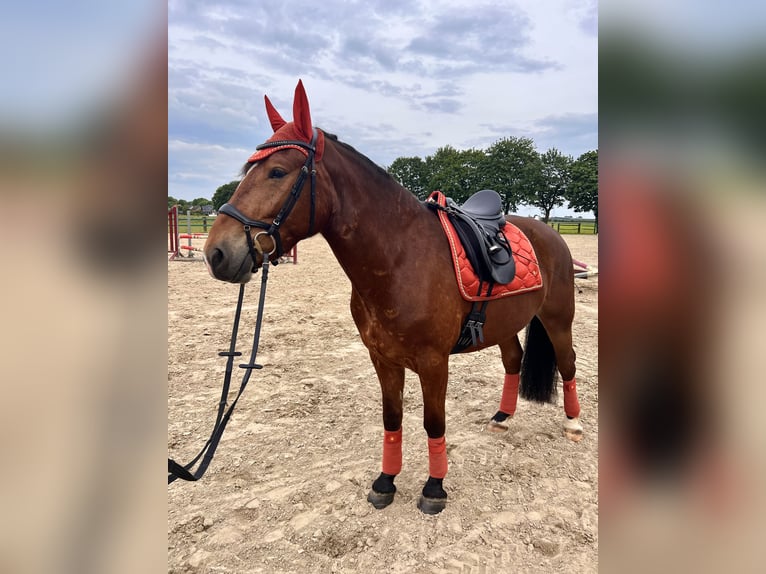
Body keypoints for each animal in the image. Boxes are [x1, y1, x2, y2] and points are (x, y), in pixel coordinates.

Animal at [204, 79, 584, 516]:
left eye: (277, 171)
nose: (216, 253)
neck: (400, 258)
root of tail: (552, 233)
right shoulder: (383, 358)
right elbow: (392, 419)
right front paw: (386, 481)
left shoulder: (434, 363)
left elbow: (433, 423)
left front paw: (434, 488)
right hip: (505, 324)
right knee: (513, 360)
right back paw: (503, 417)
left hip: (558, 319)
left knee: (568, 362)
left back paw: (574, 425)